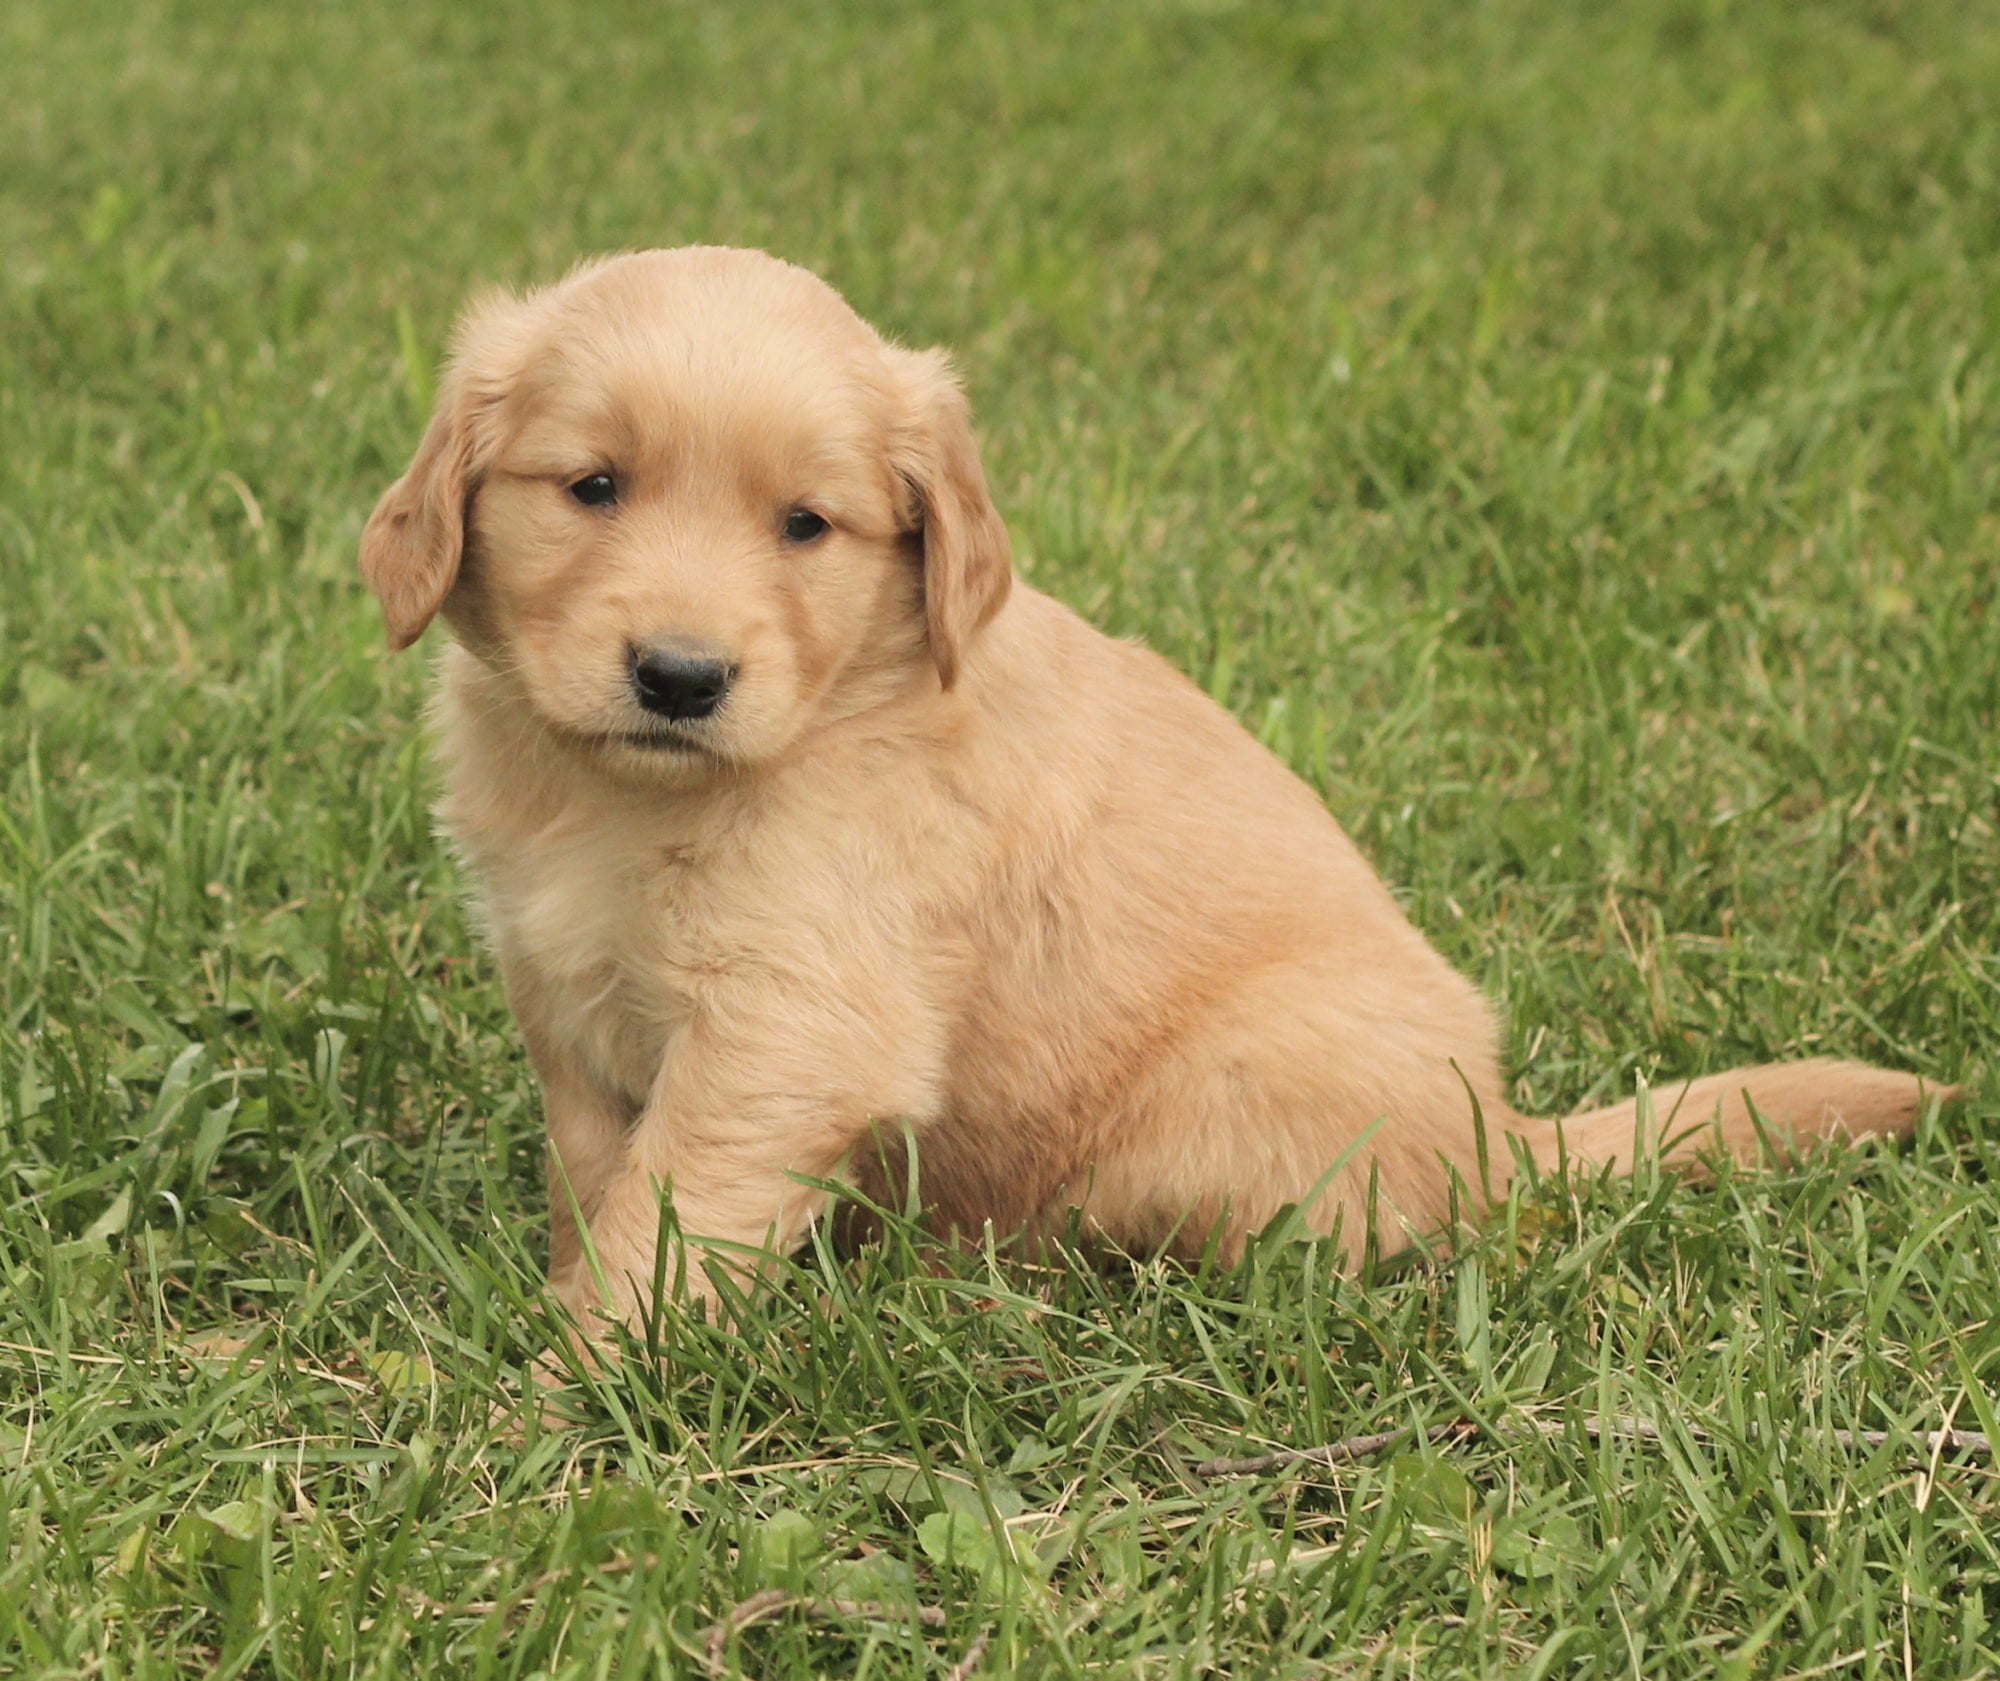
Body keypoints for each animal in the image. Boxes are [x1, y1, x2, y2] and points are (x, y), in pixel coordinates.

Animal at [364, 243, 1952, 1336]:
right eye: (592, 487)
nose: (680, 676)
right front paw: (554, 1307)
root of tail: (1505, 1136)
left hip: (1215, 1108)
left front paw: (563, 1396)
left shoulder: (790, 1026)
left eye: (805, 526)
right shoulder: (569, 1003)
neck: (623, 797)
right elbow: (596, 1182)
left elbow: (663, 1226)